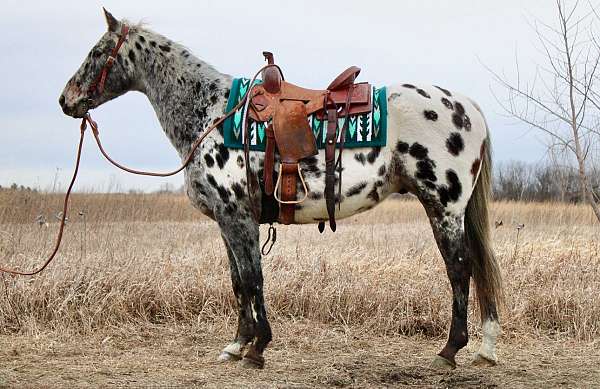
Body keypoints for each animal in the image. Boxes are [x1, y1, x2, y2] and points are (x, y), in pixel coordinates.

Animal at [59, 8, 502, 366]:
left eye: (97, 52)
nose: (66, 100)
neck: (212, 114)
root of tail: (469, 107)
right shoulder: (227, 220)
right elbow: (238, 280)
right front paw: (237, 345)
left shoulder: (237, 216)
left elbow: (253, 277)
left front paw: (258, 348)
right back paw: (484, 348)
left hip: (444, 207)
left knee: (460, 268)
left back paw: (450, 350)